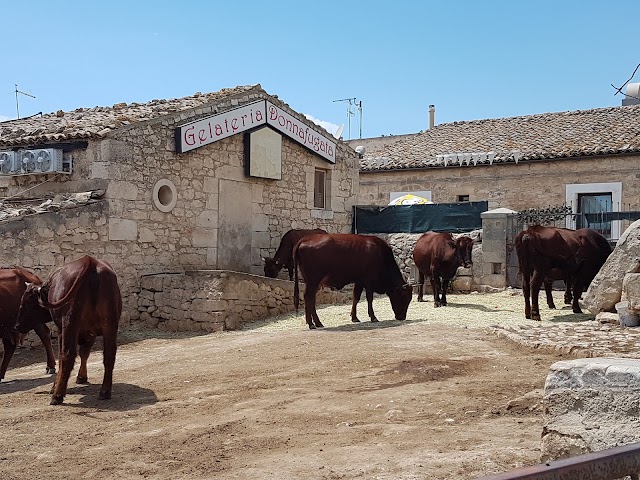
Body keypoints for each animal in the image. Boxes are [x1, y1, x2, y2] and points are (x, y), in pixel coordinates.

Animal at [15, 255, 121, 404]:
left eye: (25, 302)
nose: (17, 326)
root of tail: (90, 262)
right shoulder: (91, 332)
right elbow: (84, 353)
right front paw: (82, 377)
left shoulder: (62, 329)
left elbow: (62, 356)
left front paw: (54, 386)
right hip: (109, 323)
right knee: (109, 355)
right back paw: (105, 391)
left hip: (70, 322)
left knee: (67, 355)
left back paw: (57, 395)